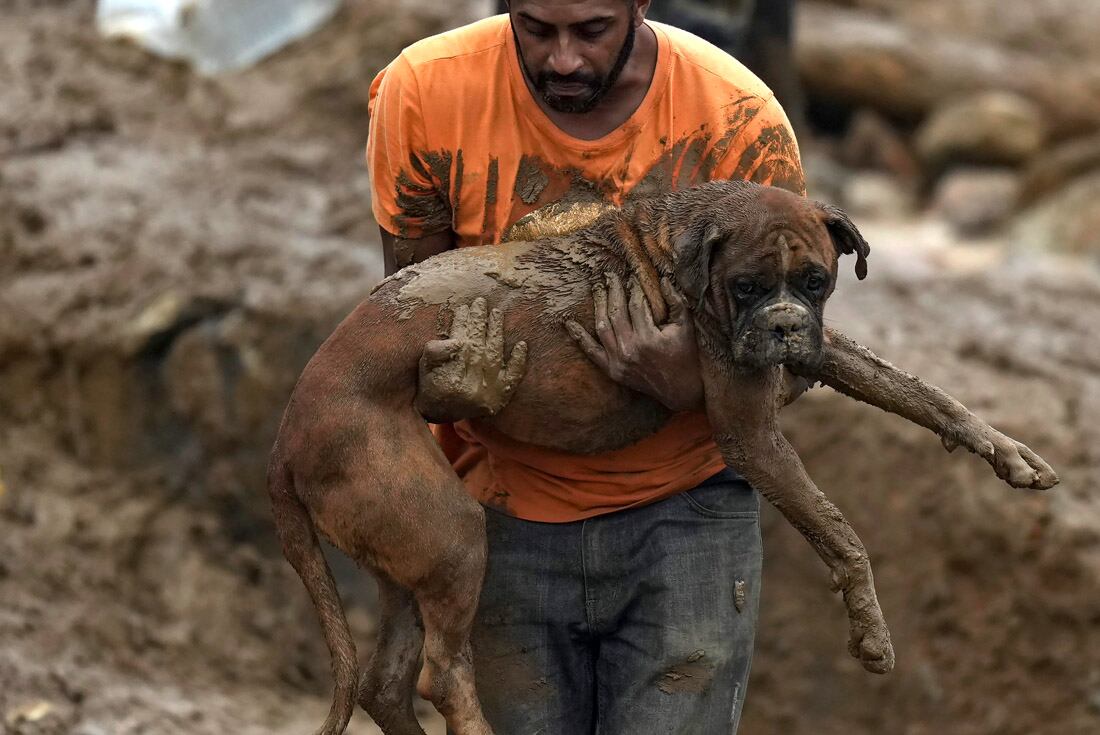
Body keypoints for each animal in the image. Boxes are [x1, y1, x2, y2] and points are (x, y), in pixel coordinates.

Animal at [266, 179, 1056, 735]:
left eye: (815, 280)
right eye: (747, 286)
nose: (783, 326)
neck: (689, 243)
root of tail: (285, 431)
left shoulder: (820, 347)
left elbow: (916, 390)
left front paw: (1005, 450)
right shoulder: (751, 432)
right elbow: (840, 531)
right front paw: (870, 630)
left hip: (410, 553)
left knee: (386, 683)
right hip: (451, 533)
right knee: (441, 676)